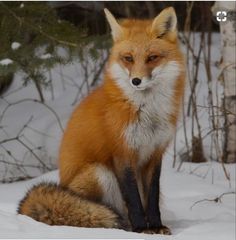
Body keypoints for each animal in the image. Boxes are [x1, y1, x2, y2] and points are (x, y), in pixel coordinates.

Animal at [18, 7, 184, 234]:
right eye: (128, 58)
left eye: (152, 58)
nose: (136, 81)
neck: (147, 112)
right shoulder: (122, 153)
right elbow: (134, 200)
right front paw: (142, 229)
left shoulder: (154, 153)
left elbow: (151, 199)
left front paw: (156, 227)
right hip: (100, 172)